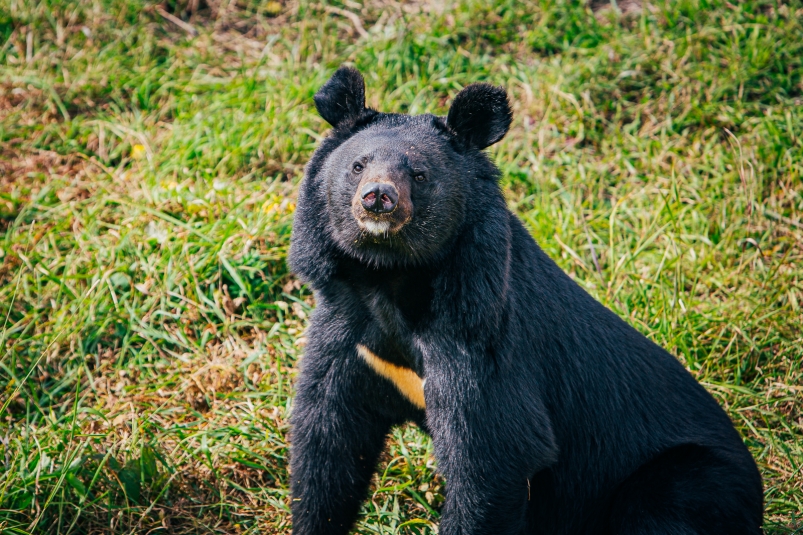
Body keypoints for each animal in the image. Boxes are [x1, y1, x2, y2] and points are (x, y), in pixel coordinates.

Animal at [287, 66, 764, 535]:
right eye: (357, 165)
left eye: (419, 174)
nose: (378, 197)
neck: (390, 279)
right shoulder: (350, 334)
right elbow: (328, 440)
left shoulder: (479, 339)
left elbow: (494, 456)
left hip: (686, 482)